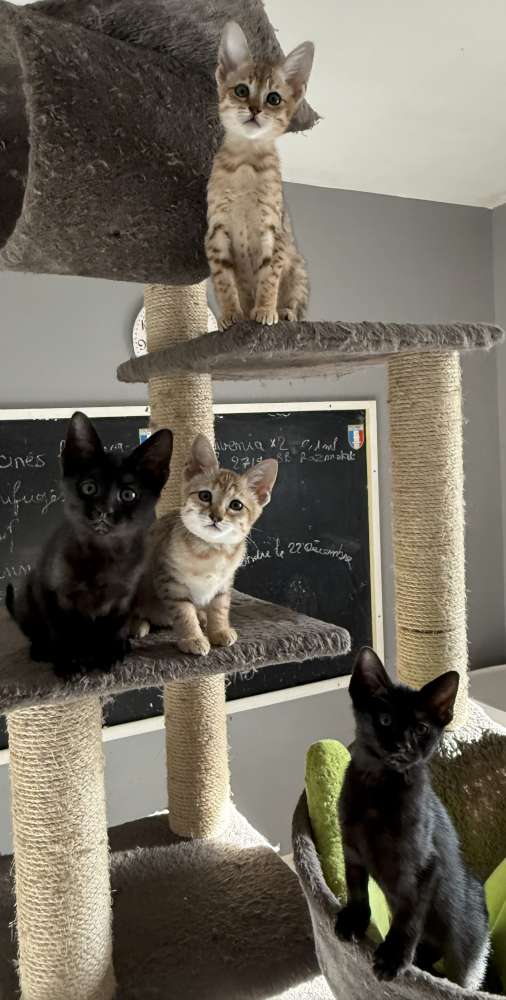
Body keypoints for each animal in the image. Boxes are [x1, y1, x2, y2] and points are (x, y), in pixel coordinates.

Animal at [6, 411, 173, 678]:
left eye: (128, 495)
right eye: (89, 487)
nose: (104, 510)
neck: (104, 556)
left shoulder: (124, 598)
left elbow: (114, 628)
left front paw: (110, 656)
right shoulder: (52, 594)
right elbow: (62, 633)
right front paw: (69, 664)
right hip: (27, 593)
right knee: (36, 631)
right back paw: (41, 650)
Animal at [132, 433, 278, 655]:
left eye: (236, 505)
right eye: (205, 495)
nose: (216, 517)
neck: (211, 552)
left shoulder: (224, 584)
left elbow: (219, 607)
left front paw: (219, 630)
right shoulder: (171, 582)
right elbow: (184, 613)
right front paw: (192, 637)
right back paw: (137, 625)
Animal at [206, 20, 313, 330]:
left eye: (273, 98)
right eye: (242, 90)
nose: (254, 109)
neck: (245, 163)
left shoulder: (273, 232)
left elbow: (269, 277)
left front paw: (265, 310)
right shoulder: (215, 232)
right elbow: (224, 282)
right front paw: (231, 314)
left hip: (299, 271)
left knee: (297, 303)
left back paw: (285, 312)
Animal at [335, 647, 490, 990]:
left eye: (421, 729)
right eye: (385, 719)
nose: (401, 745)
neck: (379, 791)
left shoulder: (424, 867)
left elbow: (409, 916)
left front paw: (394, 958)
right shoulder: (351, 849)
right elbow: (356, 888)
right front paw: (354, 919)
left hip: (466, 954)